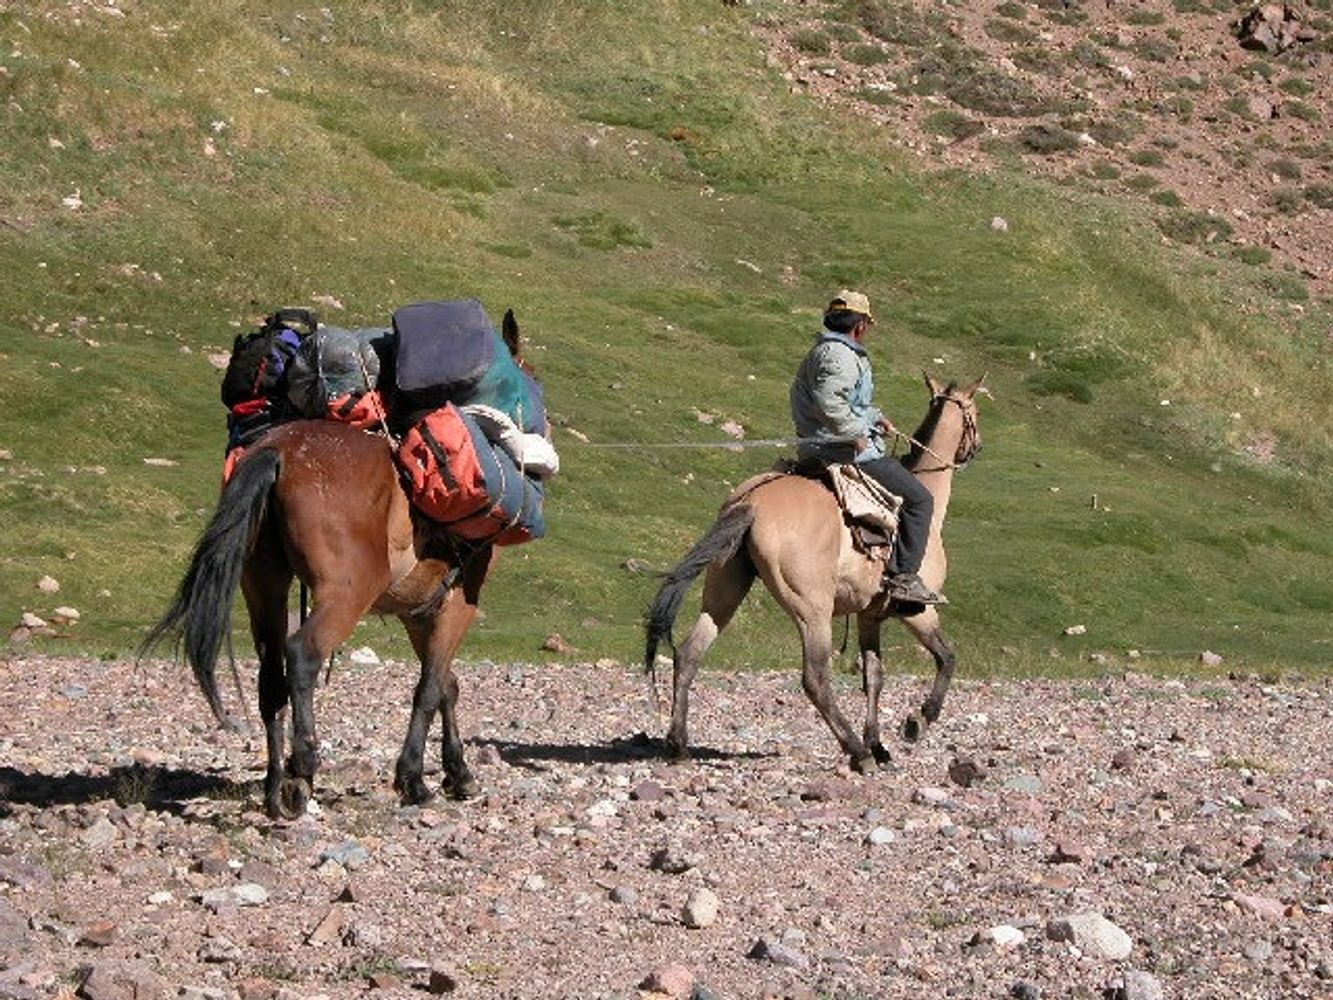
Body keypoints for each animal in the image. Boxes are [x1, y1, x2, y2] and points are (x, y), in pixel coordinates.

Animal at [149, 314, 530, 821]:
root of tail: (278, 453)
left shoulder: (418, 611)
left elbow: (446, 684)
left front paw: (458, 772)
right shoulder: (457, 605)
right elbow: (431, 687)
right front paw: (414, 779)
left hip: (264, 589)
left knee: (271, 678)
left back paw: (274, 788)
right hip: (346, 593)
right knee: (302, 655)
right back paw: (302, 768)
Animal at [645, 376, 981, 773]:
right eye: (975, 413)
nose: (976, 448)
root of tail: (753, 503)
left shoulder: (869, 616)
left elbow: (874, 677)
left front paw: (879, 744)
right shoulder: (919, 611)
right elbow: (947, 658)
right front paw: (918, 721)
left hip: (725, 591)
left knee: (689, 654)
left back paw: (679, 745)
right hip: (812, 610)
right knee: (815, 678)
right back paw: (856, 752)